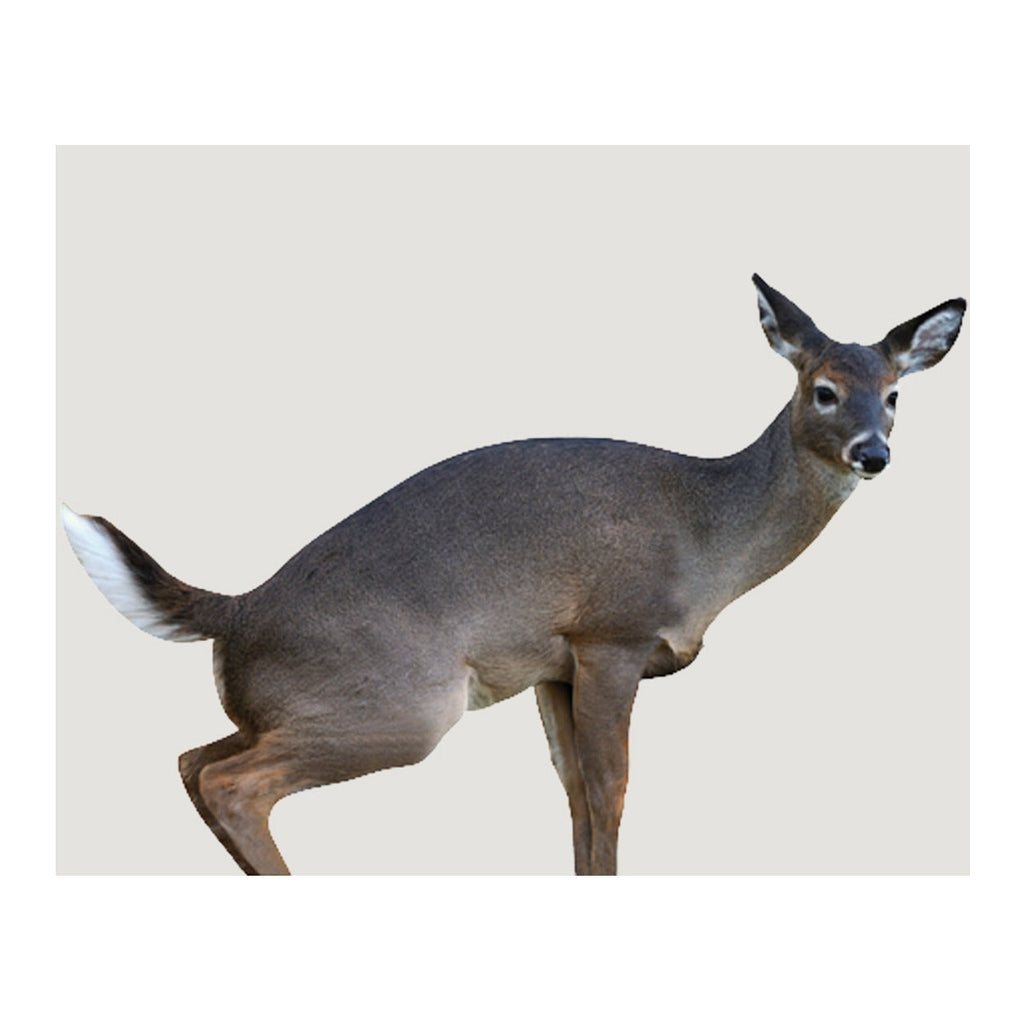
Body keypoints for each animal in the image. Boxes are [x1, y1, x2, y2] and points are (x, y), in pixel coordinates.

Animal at [61, 275, 965, 875]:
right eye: (823, 390)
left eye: (894, 395)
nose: (873, 454)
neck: (709, 535)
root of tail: (239, 610)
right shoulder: (610, 633)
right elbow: (610, 787)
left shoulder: (551, 665)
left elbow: (574, 794)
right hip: (408, 703)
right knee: (231, 782)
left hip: (297, 707)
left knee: (192, 758)